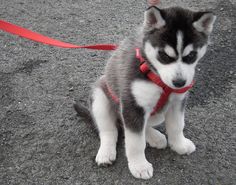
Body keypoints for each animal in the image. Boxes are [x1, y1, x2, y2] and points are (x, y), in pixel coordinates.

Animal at [74, 6, 216, 179]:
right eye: (164, 55)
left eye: (191, 55)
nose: (179, 83)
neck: (158, 79)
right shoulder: (132, 105)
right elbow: (135, 142)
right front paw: (139, 166)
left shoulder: (177, 102)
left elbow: (176, 126)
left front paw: (179, 145)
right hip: (101, 98)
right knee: (110, 130)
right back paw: (106, 152)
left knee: (136, 125)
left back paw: (154, 137)